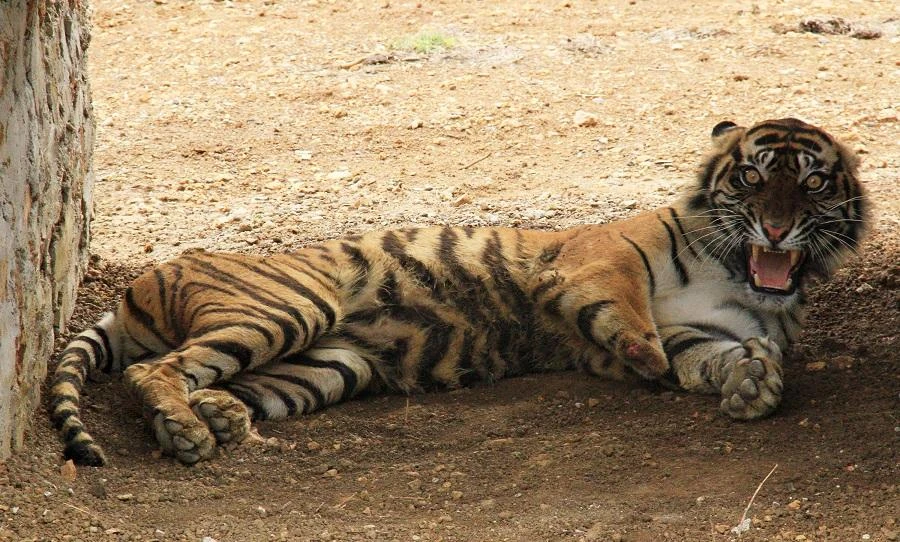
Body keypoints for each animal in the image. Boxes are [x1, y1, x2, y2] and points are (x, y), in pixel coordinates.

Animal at [49, 118, 868, 466]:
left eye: (813, 182)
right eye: (752, 176)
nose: (776, 225)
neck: (739, 272)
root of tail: (139, 284)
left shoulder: (705, 333)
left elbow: (722, 360)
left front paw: (754, 385)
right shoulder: (599, 256)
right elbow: (630, 304)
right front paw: (641, 353)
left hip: (327, 362)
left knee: (204, 377)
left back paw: (213, 420)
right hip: (289, 307)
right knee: (150, 369)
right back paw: (189, 433)